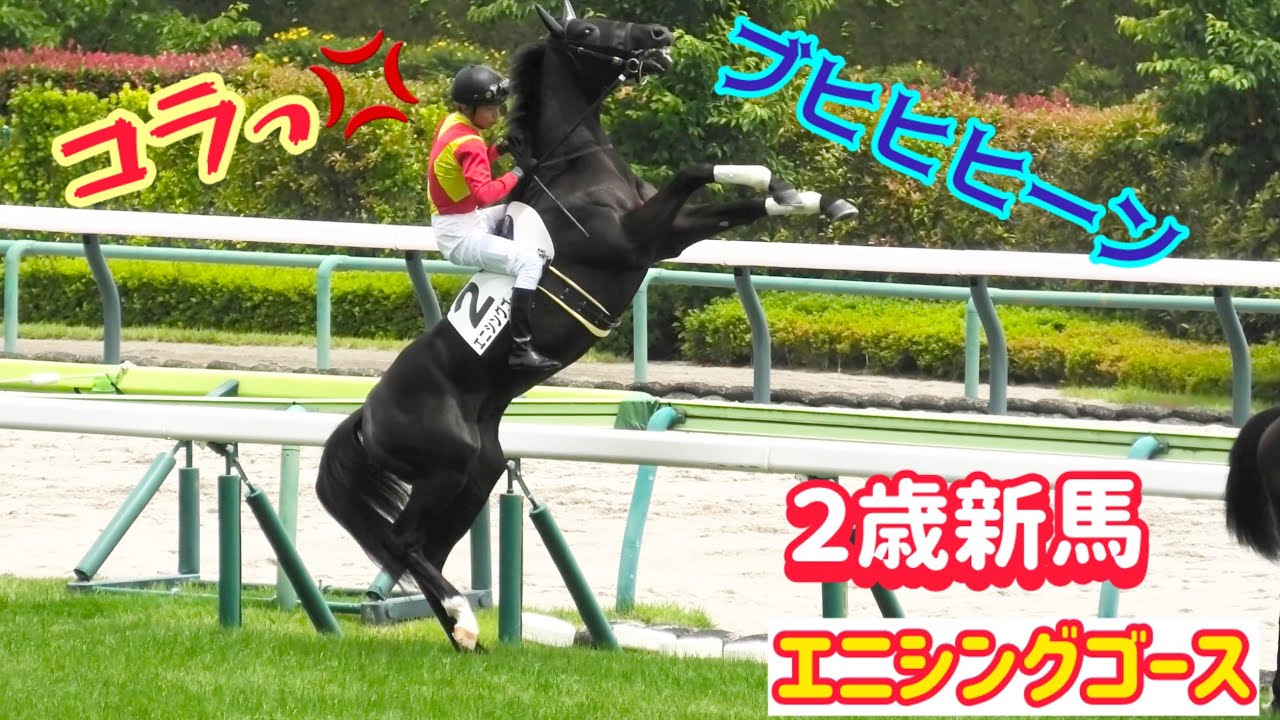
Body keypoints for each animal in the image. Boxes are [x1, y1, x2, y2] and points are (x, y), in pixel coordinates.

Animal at [314, 0, 859, 653]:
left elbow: (744, 198)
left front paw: (813, 198)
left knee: (425, 550)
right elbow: (694, 170)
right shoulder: (634, 238)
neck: (575, 166)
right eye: (588, 30)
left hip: (478, 470)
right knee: (403, 542)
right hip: (446, 464)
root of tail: (365, 415)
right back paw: (466, 623)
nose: (659, 34)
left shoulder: (669, 235)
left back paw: (464, 635)